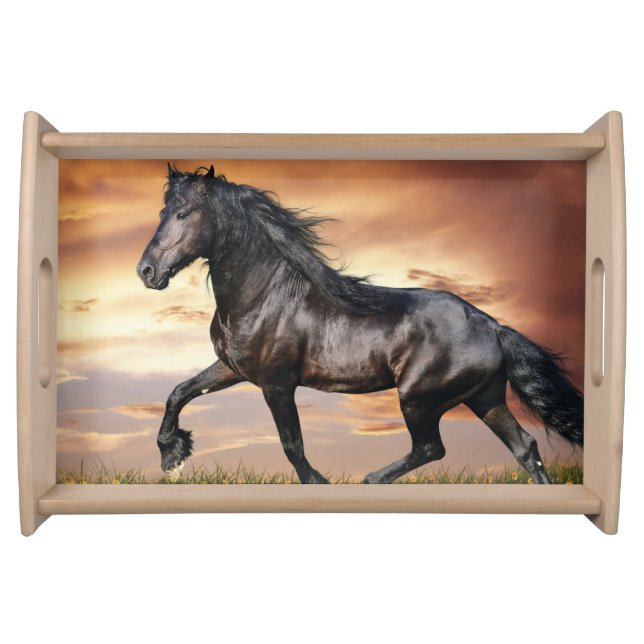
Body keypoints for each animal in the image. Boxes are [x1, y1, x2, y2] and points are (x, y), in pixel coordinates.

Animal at [136, 163, 583, 484]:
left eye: (182, 213)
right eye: (161, 211)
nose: (146, 271)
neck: (263, 295)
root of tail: (492, 326)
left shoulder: (276, 384)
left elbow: (292, 446)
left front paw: (318, 482)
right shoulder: (234, 369)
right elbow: (179, 392)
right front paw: (173, 455)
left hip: (419, 398)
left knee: (431, 449)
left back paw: (369, 479)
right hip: (483, 398)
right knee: (525, 449)